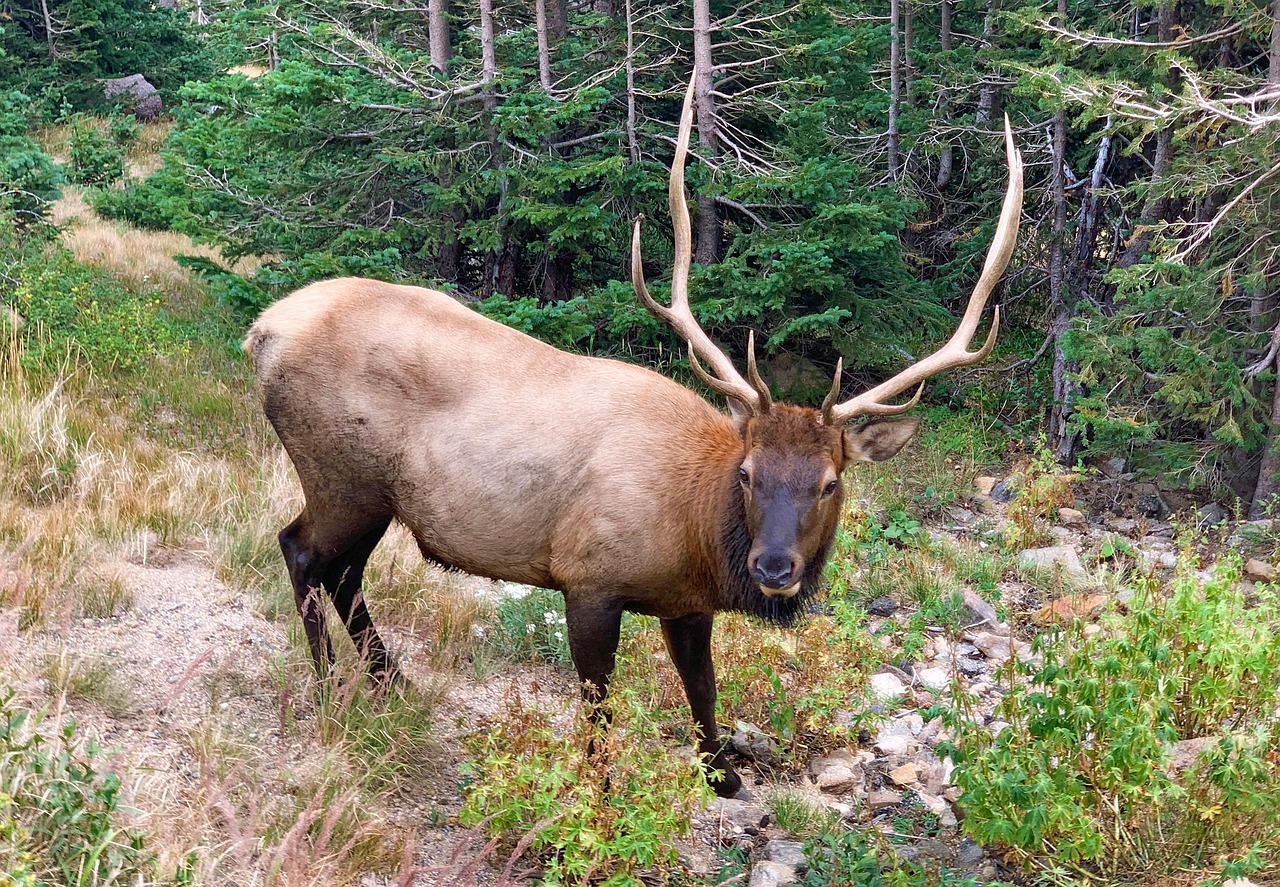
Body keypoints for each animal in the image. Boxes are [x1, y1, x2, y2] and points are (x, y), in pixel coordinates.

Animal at [243, 70, 1023, 799]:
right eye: (748, 473)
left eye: (830, 481)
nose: (775, 567)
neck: (696, 532)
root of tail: (262, 331)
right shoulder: (588, 577)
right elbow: (597, 703)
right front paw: (601, 790)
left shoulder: (687, 604)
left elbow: (703, 687)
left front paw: (723, 774)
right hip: (342, 473)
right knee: (302, 551)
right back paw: (331, 688)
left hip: (377, 496)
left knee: (344, 573)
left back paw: (391, 681)